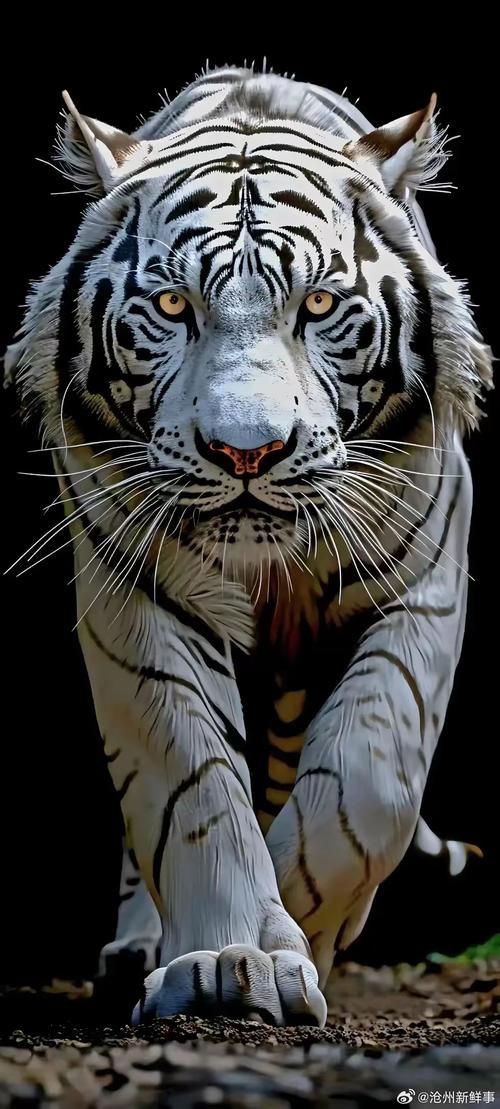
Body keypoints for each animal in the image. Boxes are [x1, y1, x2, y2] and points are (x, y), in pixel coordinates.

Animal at [5, 65, 492, 1027]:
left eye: (318, 305)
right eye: (171, 306)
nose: (246, 452)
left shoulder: (422, 585)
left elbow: (370, 775)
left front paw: (311, 917)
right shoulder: (137, 594)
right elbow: (190, 785)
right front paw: (236, 955)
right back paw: (139, 945)